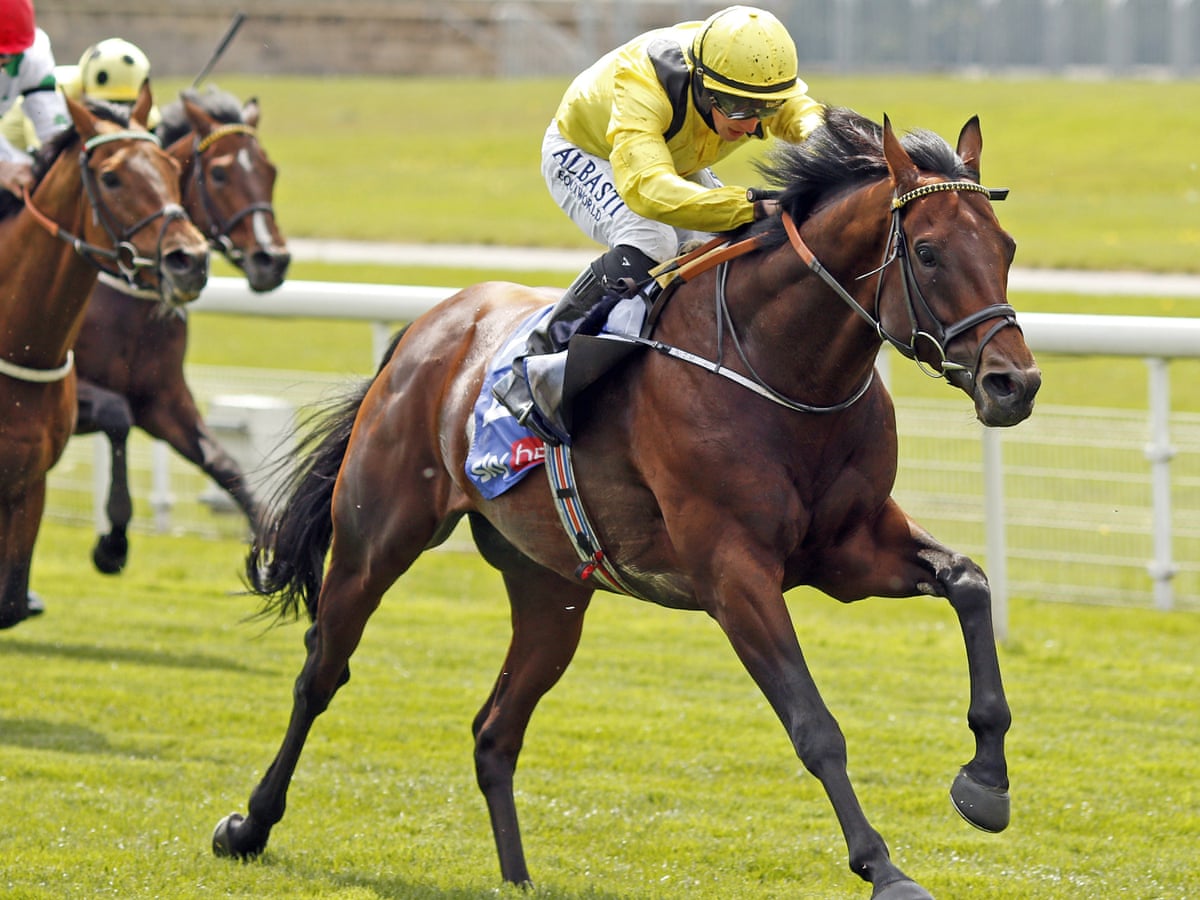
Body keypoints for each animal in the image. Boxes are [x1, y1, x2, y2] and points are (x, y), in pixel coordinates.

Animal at [71, 86, 290, 575]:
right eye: (221, 172)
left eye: (270, 170)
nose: (273, 259)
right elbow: (115, 414)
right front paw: (111, 543)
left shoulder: (162, 398)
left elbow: (223, 462)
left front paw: (277, 554)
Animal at [211, 108, 1041, 898]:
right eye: (927, 252)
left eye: (1006, 247)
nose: (1015, 384)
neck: (781, 372)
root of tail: (425, 329)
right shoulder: (733, 574)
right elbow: (814, 725)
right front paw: (885, 868)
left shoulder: (850, 549)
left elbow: (968, 582)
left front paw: (986, 783)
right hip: (375, 538)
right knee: (321, 673)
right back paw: (248, 826)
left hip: (549, 590)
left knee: (494, 729)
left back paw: (518, 878)